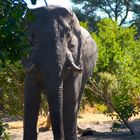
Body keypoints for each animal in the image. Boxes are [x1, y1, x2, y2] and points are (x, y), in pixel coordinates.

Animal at [23, 5, 97, 140]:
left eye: (68, 34)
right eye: (32, 35)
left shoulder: (76, 56)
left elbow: (70, 96)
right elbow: (31, 97)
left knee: (78, 97)